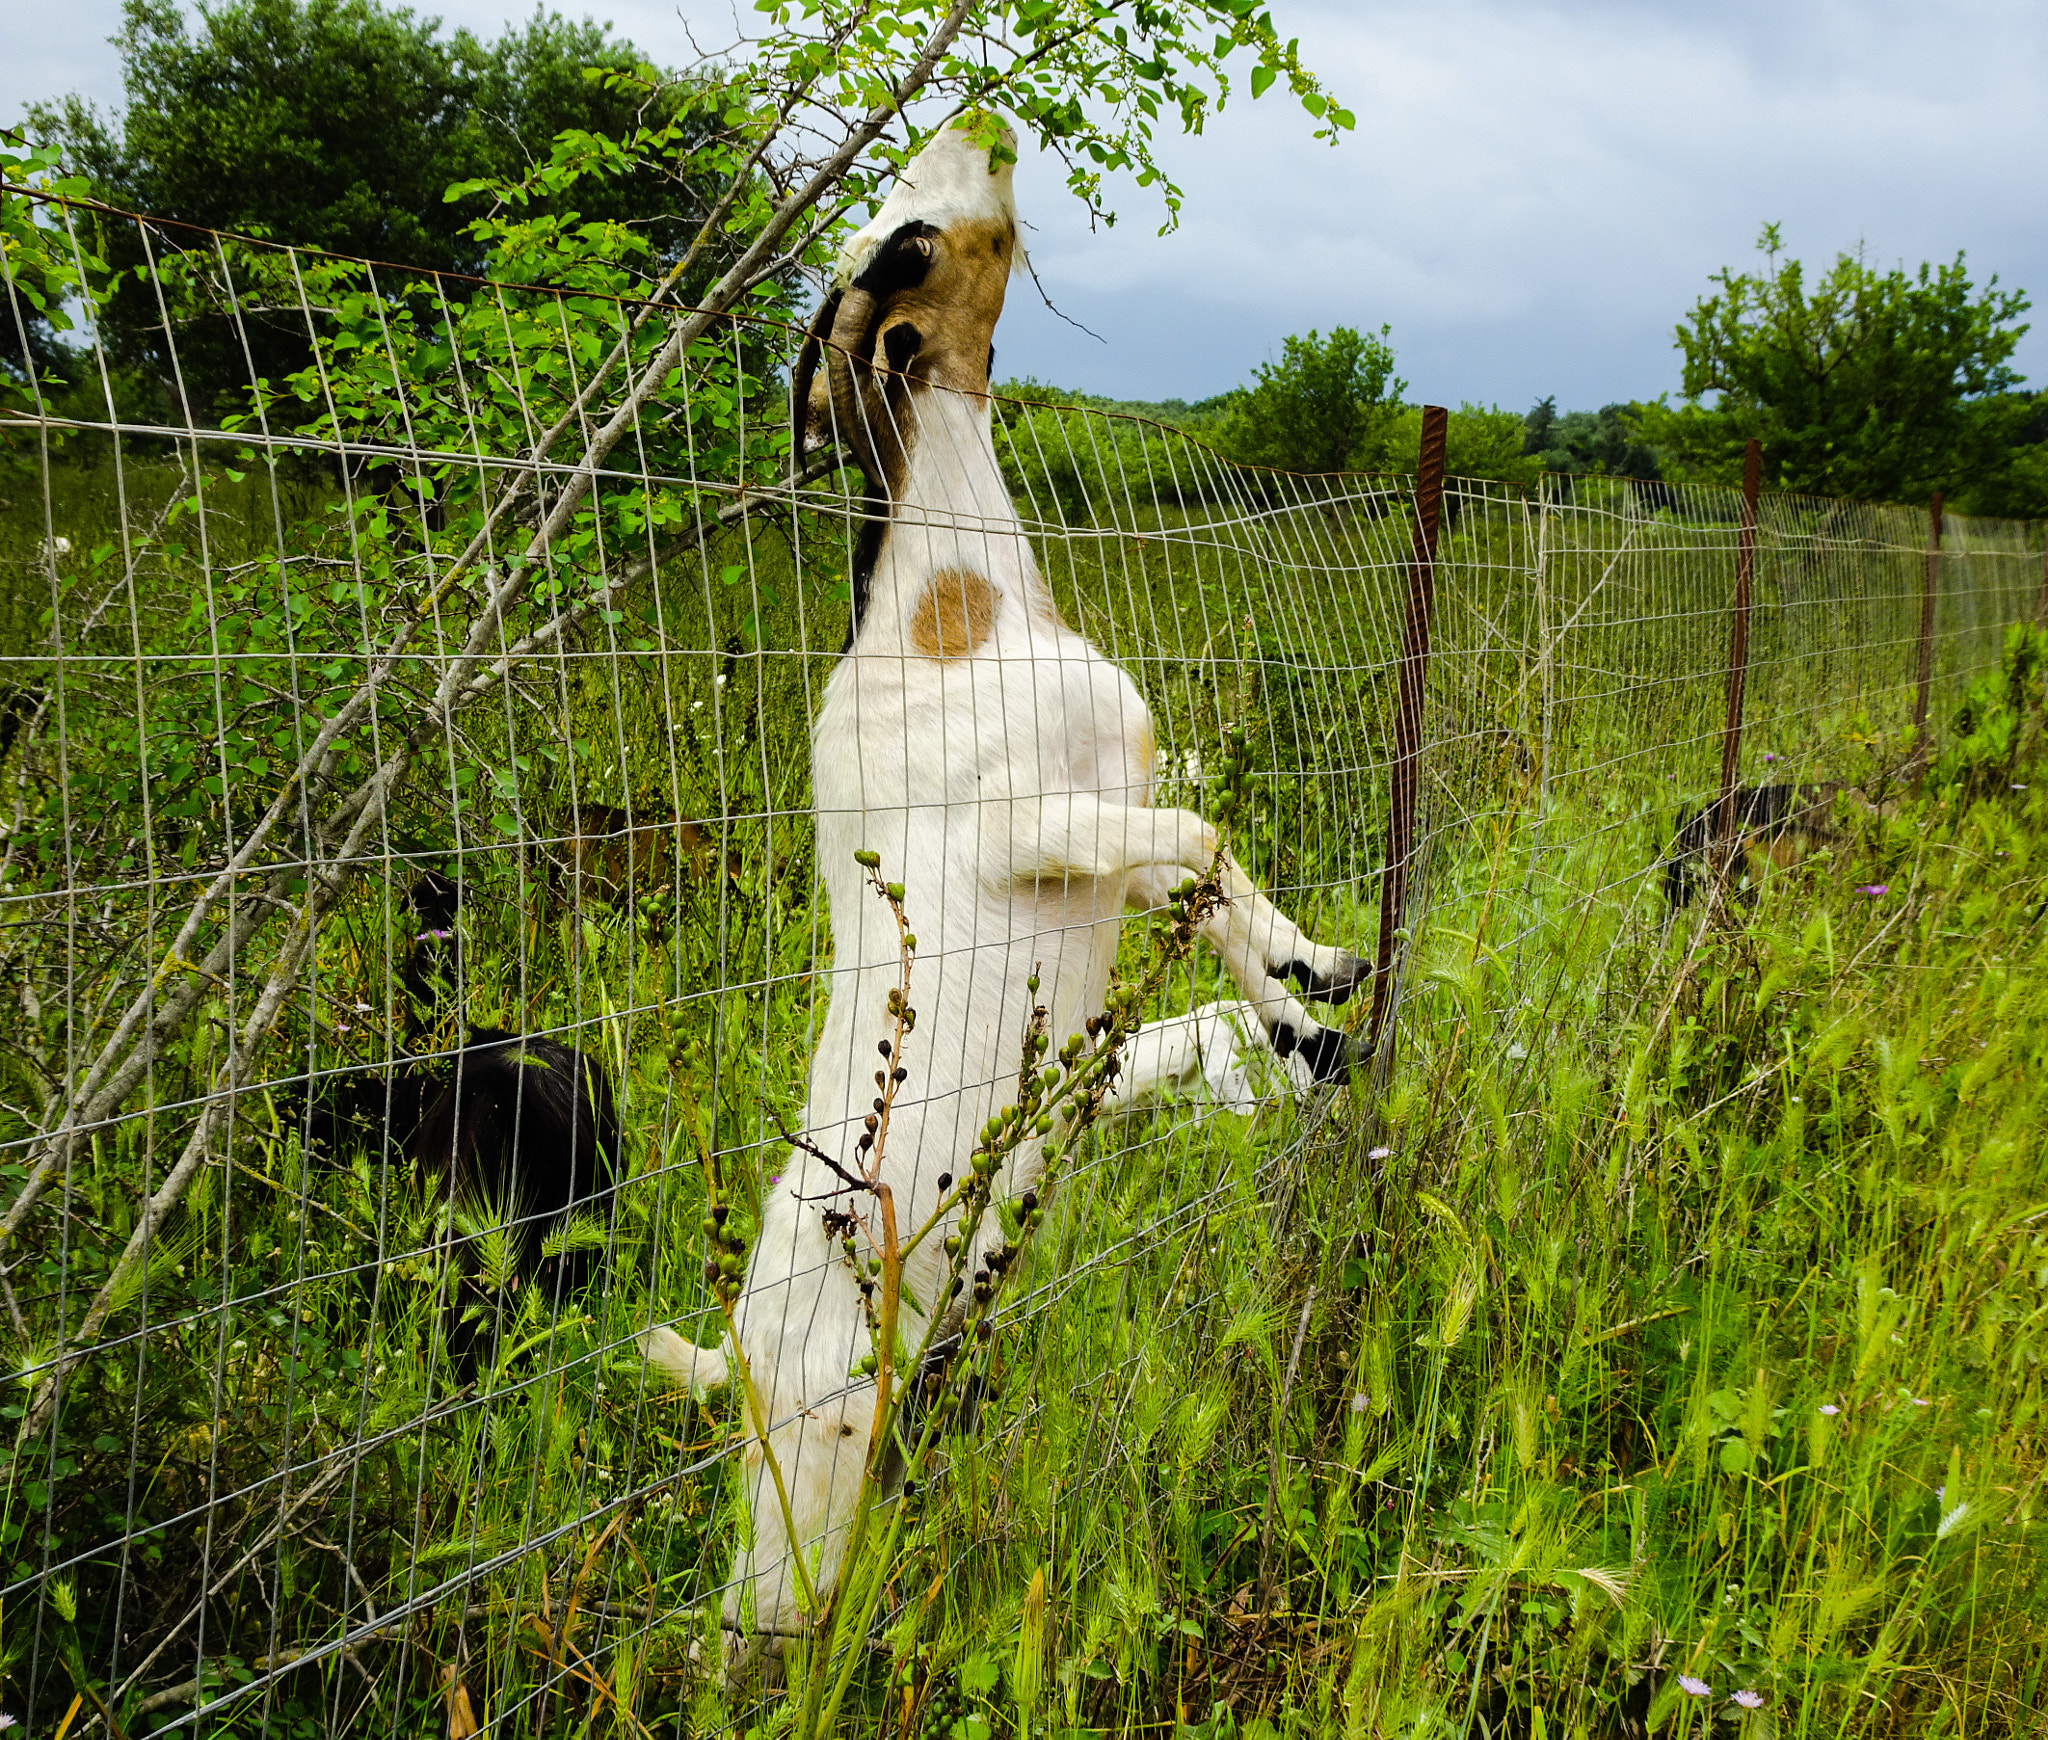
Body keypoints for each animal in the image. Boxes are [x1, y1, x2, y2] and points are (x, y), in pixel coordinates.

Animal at [638, 115, 1376, 1678]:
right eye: (905, 232)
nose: (983, 121)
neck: (955, 599)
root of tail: (734, 1354)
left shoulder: (1110, 835)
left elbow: (1217, 892)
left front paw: (1314, 999)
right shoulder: (1031, 828)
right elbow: (1208, 840)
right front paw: (1306, 1008)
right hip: (813, 1483)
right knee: (736, 1632)